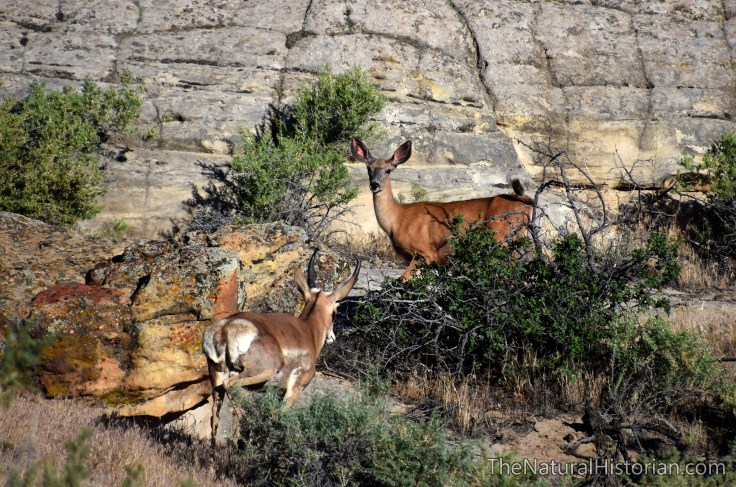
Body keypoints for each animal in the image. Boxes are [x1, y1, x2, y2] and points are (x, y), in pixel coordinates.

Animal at [202, 250, 360, 442]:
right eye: (335, 312)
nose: (332, 337)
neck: (307, 329)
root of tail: (226, 327)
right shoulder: (294, 389)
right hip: (259, 372)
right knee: (232, 388)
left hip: (217, 382)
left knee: (215, 418)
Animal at [351, 137, 533, 281]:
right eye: (368, 168)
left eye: (388, 170)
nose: (374, 185)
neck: (397, 220)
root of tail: (525, 201)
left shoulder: (425, 252)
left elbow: (401, 281)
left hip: (500, 238)